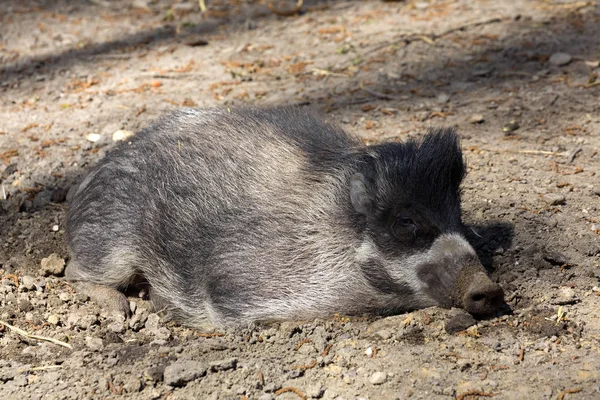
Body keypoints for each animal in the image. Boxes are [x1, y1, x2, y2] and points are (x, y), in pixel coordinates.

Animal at [65, 107, 504, 328]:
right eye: (405, 223)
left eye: (457, 215)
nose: (489, 288)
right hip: (109, 243)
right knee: (75, 273)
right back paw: (123, 311)